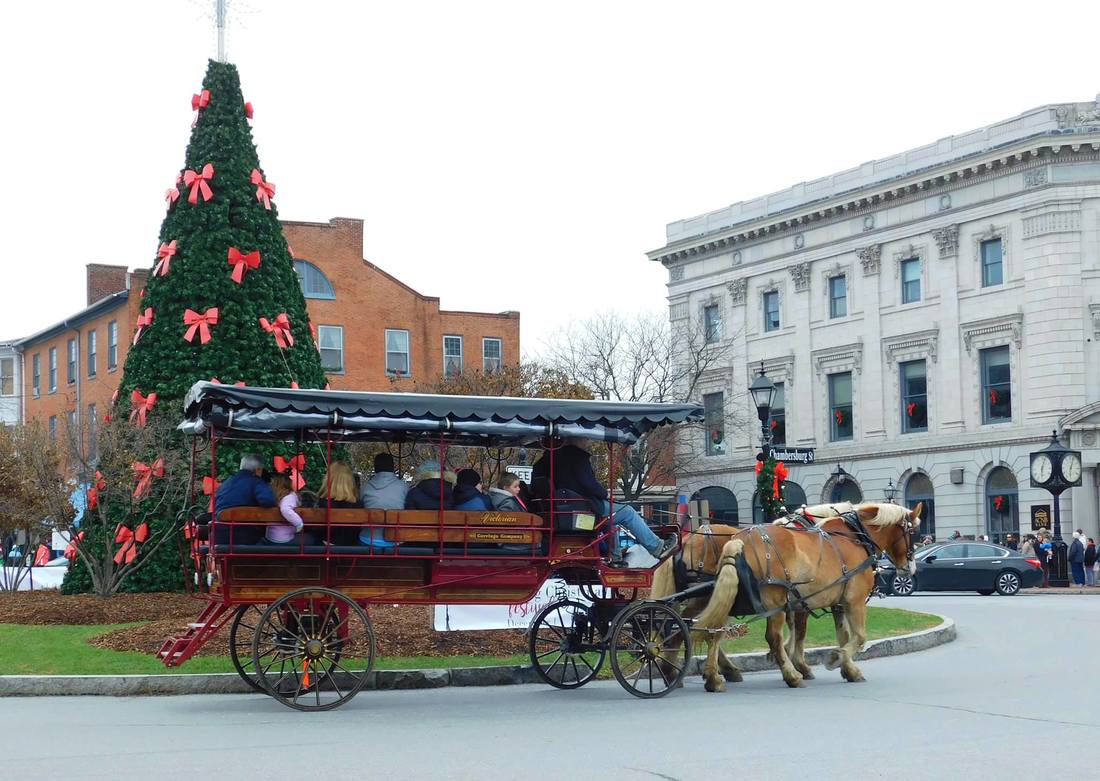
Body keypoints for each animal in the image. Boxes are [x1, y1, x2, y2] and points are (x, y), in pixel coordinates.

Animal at [690, 503, 924, 695]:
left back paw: (714, 678)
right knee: (773, 637)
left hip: (731, 599)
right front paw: (834, 658)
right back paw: (791, 676)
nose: (910, 569)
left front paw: (849, 670)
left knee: (715, 632)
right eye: (913, 532)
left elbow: (843, 636)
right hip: (775, 601)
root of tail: (739, 541)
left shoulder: (838, 603)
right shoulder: (854, 601)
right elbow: (858, 637)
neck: (856, 537)